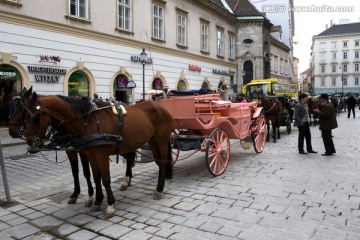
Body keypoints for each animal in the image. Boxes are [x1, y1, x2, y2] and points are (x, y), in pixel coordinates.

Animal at [15, 87, 174, 218]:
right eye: (22, 114)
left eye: (32, 117)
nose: (29, 141)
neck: (87, 121)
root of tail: (161, 107)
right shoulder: (91, 154)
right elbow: (95, 176)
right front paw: (97, 201)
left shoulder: (100, 155)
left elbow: (105, 179)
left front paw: (110, 205)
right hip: (152, 141)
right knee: (158, 162)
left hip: (161, 140)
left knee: (163, 162)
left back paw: (159, 189)